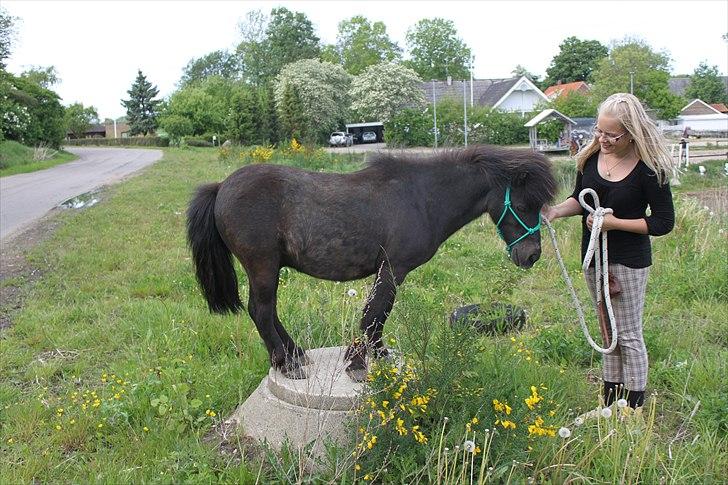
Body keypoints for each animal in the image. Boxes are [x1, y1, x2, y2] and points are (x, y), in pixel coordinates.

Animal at [188, 146, 556, 380]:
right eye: (523, 204)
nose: (531, 255)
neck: (422, 197)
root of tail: (221, 187)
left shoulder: (387, 270)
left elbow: (375, 314)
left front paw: (375, 355)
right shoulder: (394, 268)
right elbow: (375, 314)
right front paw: (359, 362)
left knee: (268, 312)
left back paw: (295, 354)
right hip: (262, 267)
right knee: (261, 311)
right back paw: (287, 364)